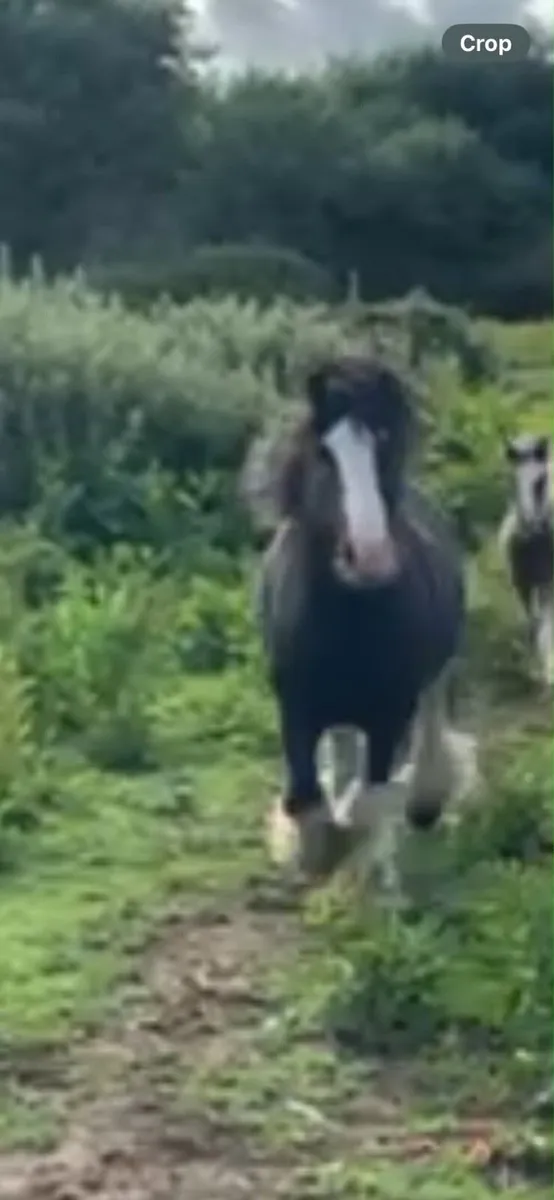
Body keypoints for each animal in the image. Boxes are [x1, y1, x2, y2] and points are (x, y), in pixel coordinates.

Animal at [246, 354, 471, 882]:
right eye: (324, 453)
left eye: (386, 442)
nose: (368, 557)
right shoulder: (295, 706)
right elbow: (307, 799)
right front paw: (312, 853)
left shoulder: (390, 711)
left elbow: (369, 802)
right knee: (344, 750)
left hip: (429, 685)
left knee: (425, 739)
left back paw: (423, 807)